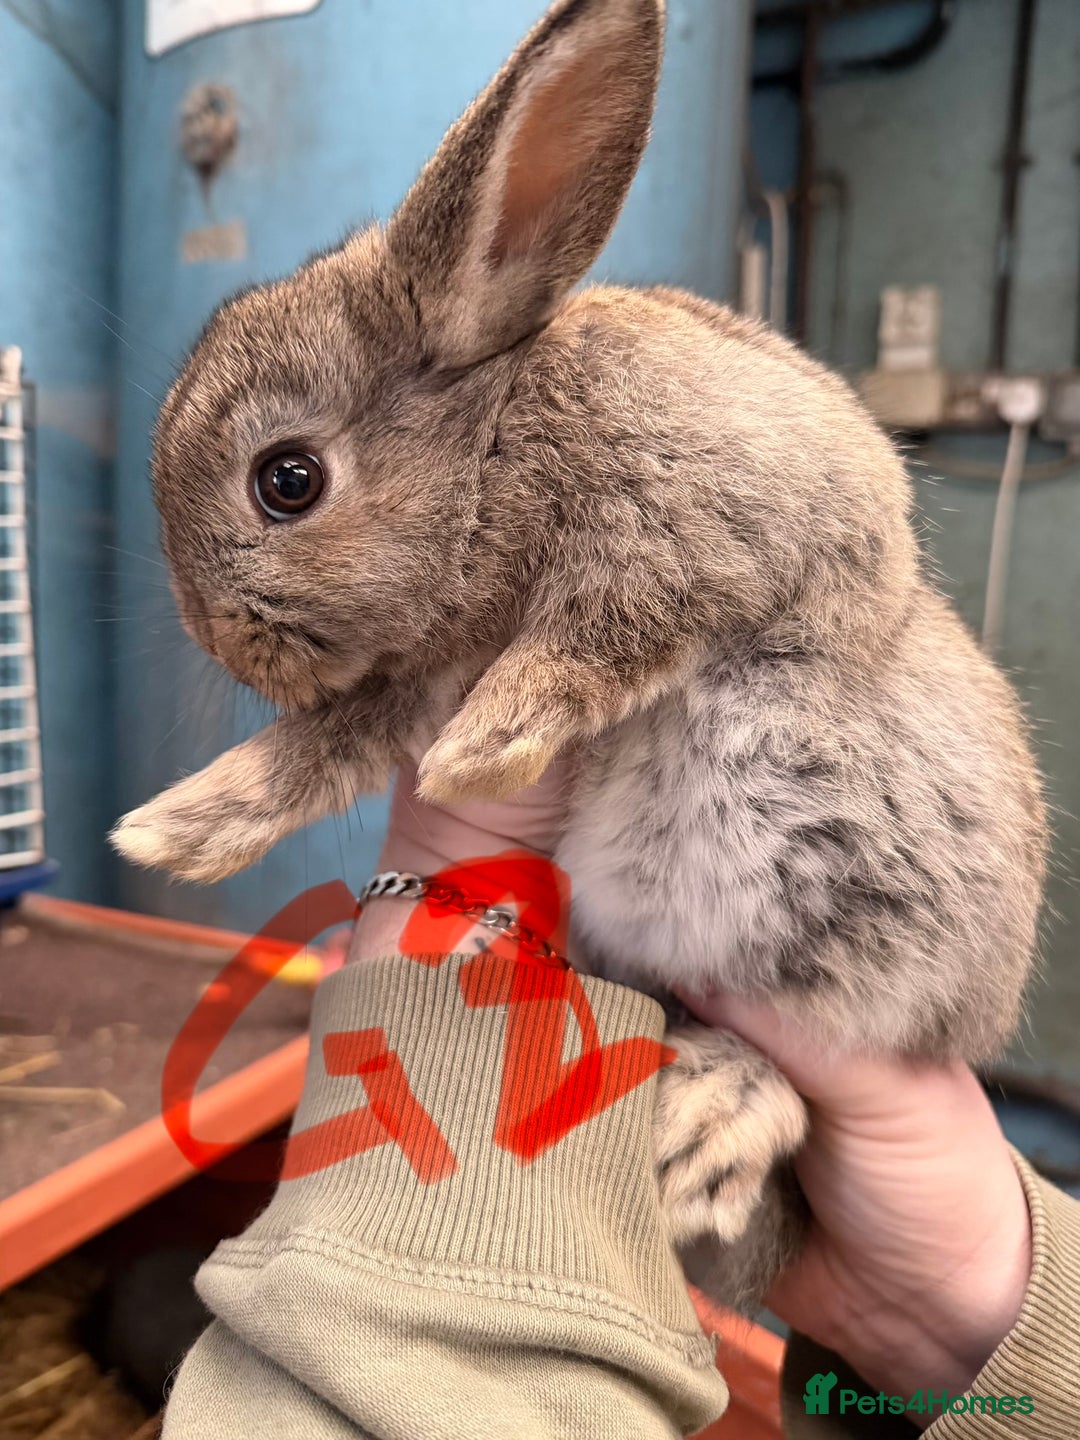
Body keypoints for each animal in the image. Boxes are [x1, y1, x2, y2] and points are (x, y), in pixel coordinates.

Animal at [112, 0, 1047, 1312]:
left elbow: (603, 633)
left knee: (803, 1067)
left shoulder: (702, 530)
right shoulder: (409, 674)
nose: (229, 643)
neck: (495, 437)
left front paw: (490, 742)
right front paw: (179, 829)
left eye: (286, 480)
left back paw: (704, 1128)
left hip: (863, 955)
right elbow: (323, 751)